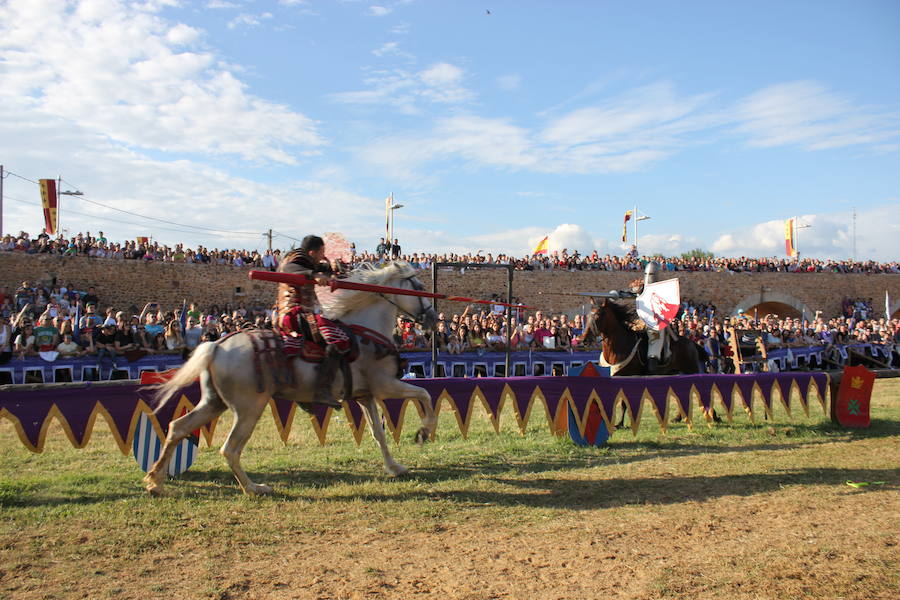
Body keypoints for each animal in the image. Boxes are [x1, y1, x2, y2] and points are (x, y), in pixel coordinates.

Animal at [145, 262, 440, 496]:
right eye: (418, 284)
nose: (432, 317)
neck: (365, 332)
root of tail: (217, 346)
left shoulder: (364, 396)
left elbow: (378, 433)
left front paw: (394, 466)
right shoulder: (385, 386)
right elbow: (424, 395)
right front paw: (423, 432)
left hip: (213, 402)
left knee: (178, 428)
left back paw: (155, 481)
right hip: (248, 408)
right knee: (230, 449)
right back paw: (253, 488)